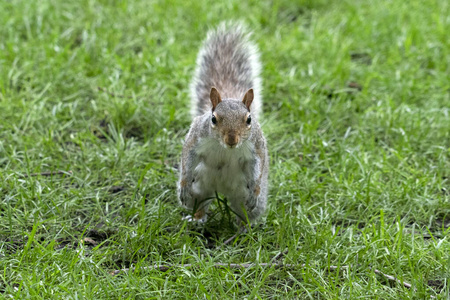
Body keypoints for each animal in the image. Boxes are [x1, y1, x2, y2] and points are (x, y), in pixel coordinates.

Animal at [176, 22, 268, 225]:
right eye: (213, 119)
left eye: (249, 119)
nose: (232, 139)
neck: (226, 150)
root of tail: (221, 189)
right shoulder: (196, 137)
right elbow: (188, 157)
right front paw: (184, 185)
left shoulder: (256, 147)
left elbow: (258, 165)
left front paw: (256, 190)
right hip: (200, 189)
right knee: (199, 203)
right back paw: (196, 220)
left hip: (244, 199)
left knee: (244, 213)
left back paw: (244, 227)